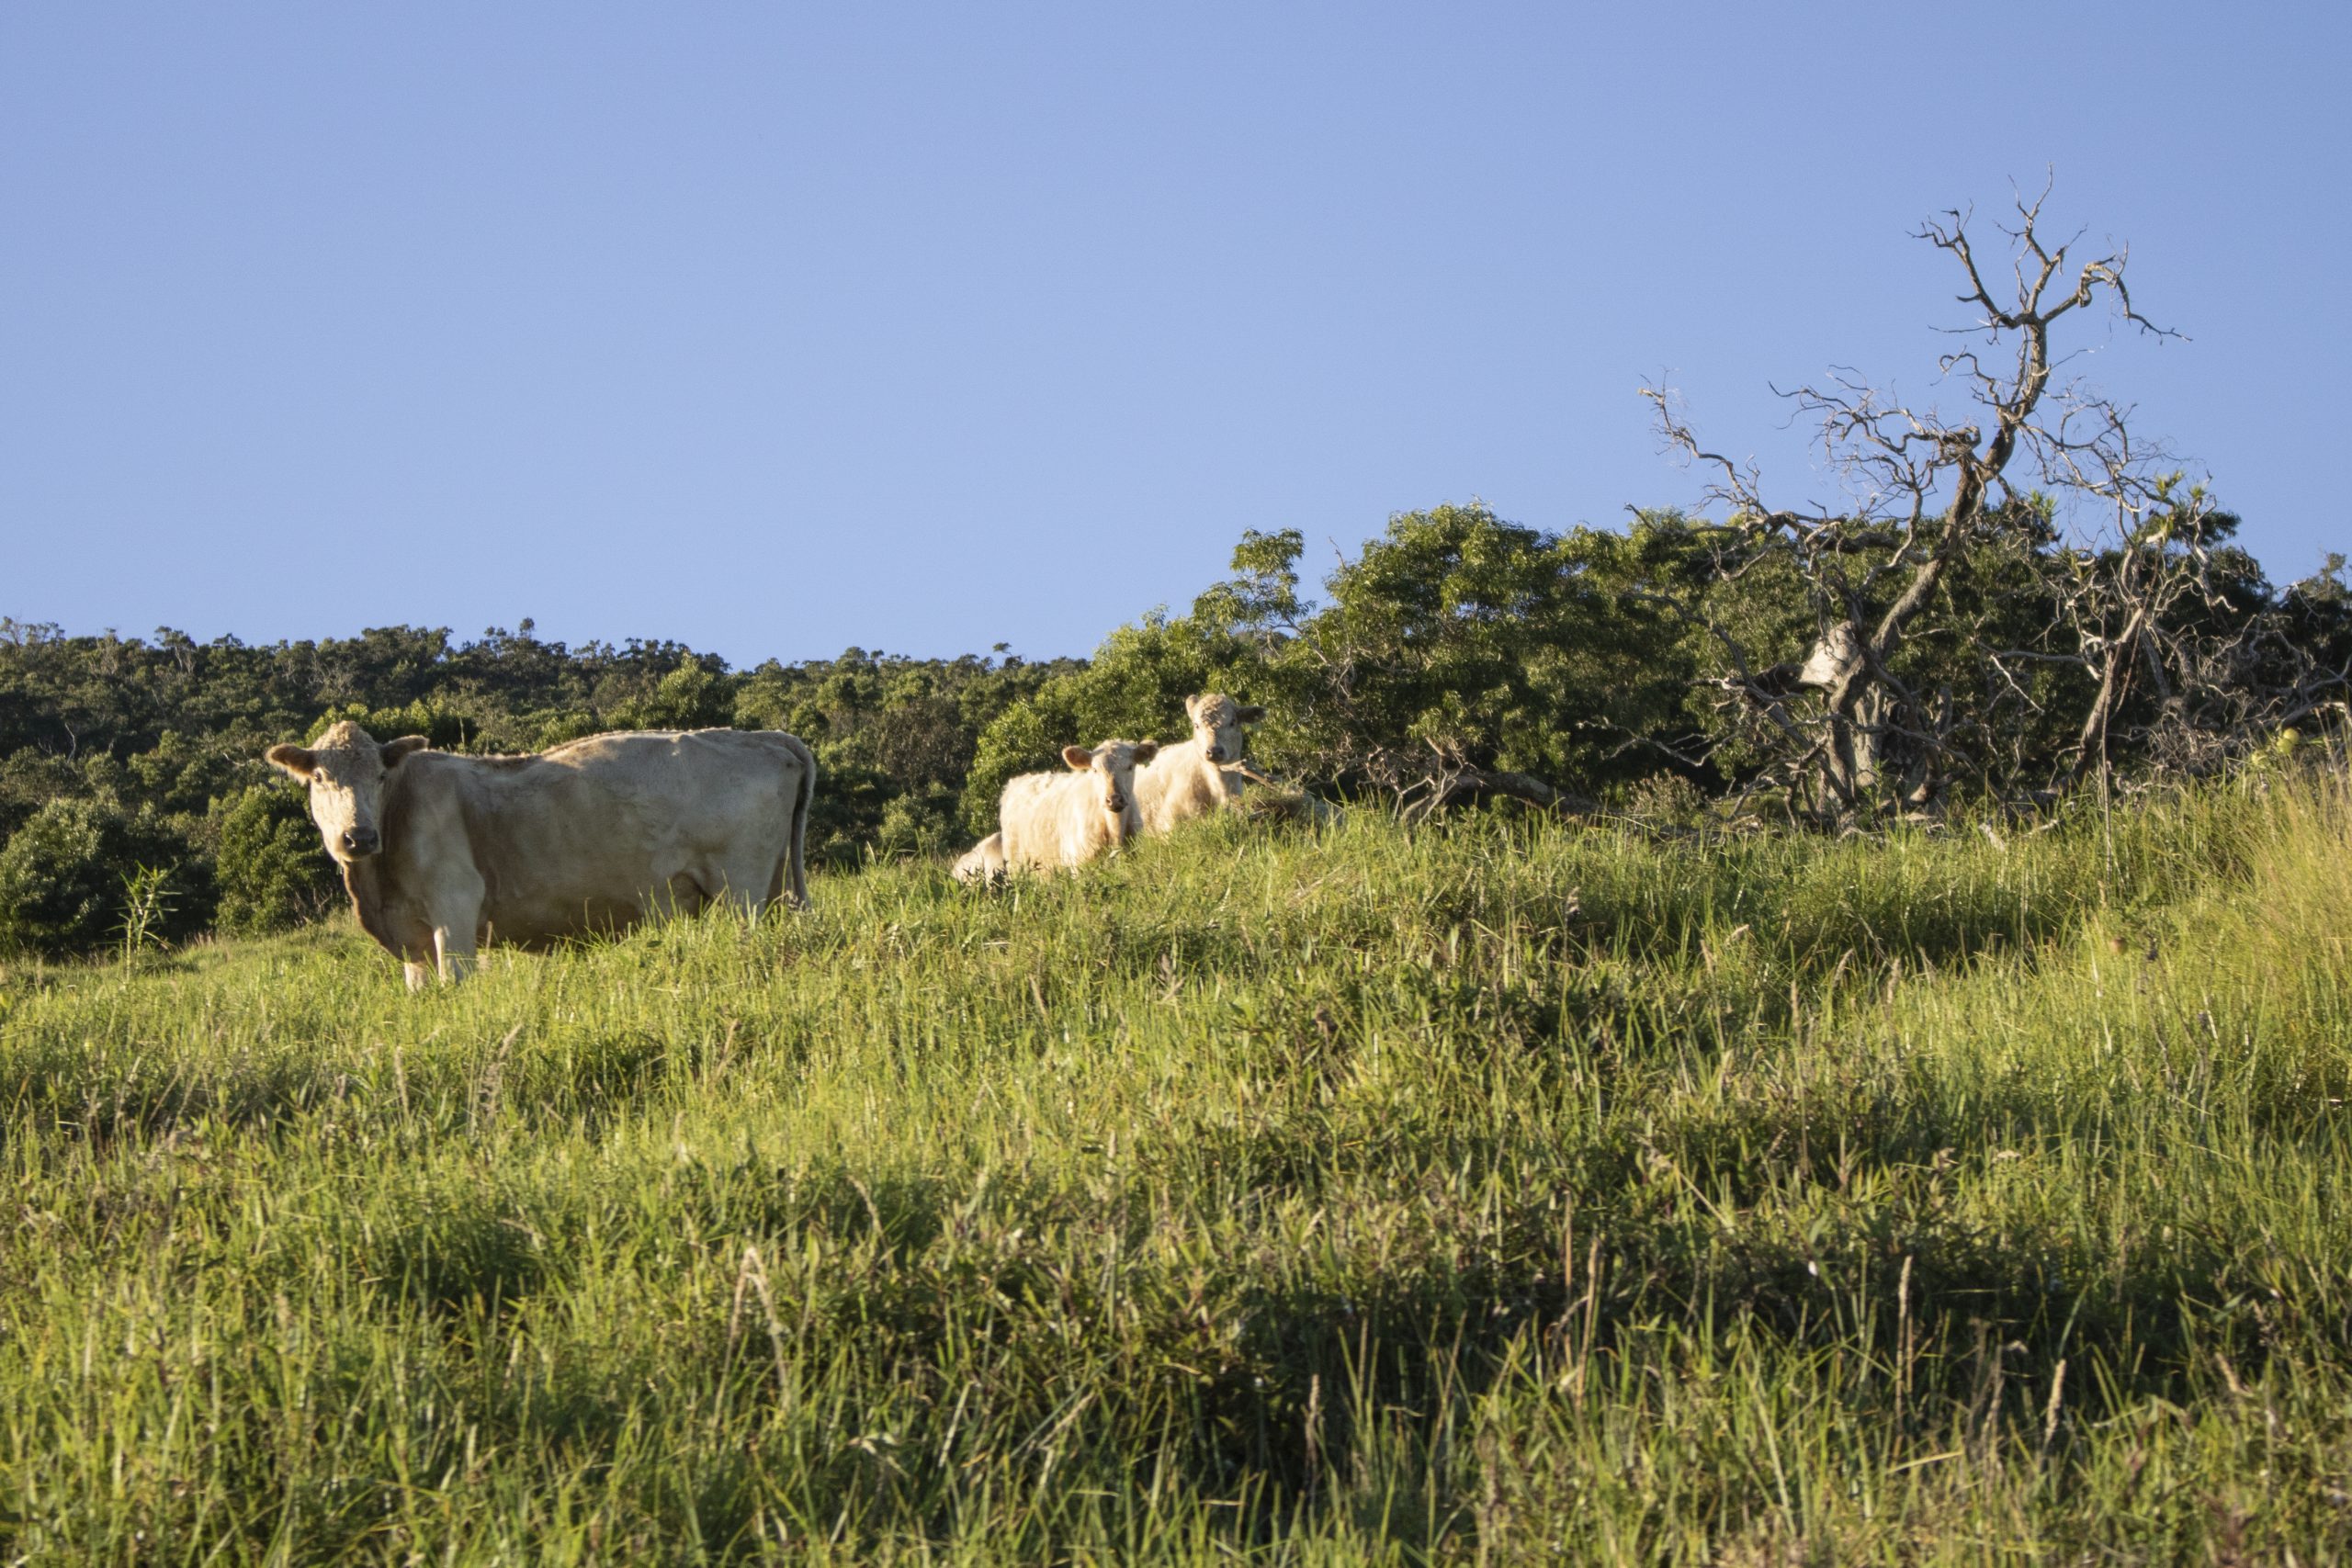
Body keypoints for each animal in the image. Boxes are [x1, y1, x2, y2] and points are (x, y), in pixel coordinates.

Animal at [264, 720, 815, 988]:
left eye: (380, 775)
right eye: (319, 778)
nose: (359, 836)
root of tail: (760, 736)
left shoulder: (455, 909)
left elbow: (456, 982)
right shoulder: (413, 940)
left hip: (740, 889)